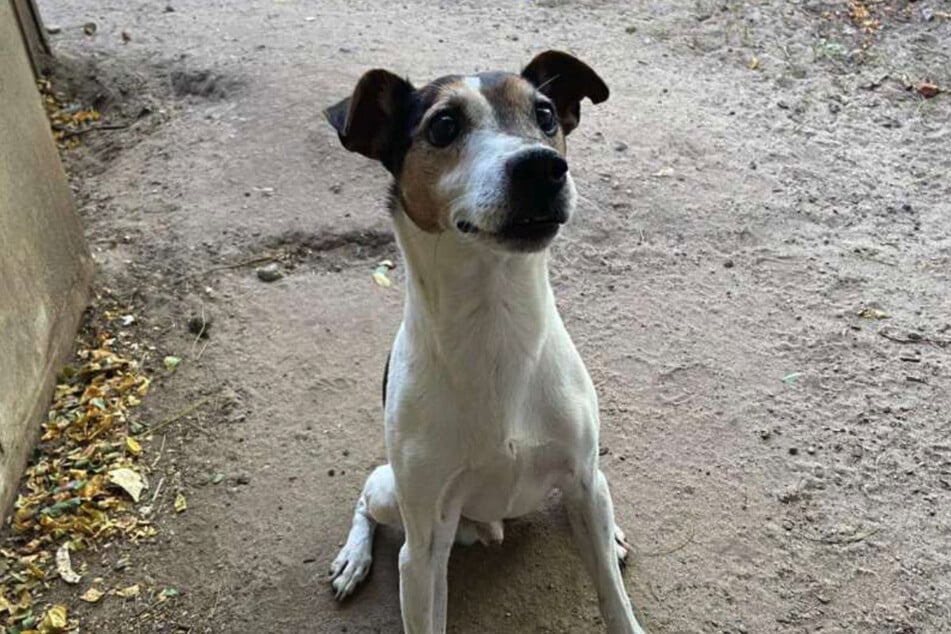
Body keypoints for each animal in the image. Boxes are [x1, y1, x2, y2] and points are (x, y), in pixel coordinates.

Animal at [326, 50, 648, 632]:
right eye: (443, 126)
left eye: (545, 114)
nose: (542, 167)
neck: (496, 324)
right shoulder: (422, 553)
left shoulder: (582, 477)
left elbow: (615, 600)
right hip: (391, 492)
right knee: (365, 499)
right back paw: (353, 559)